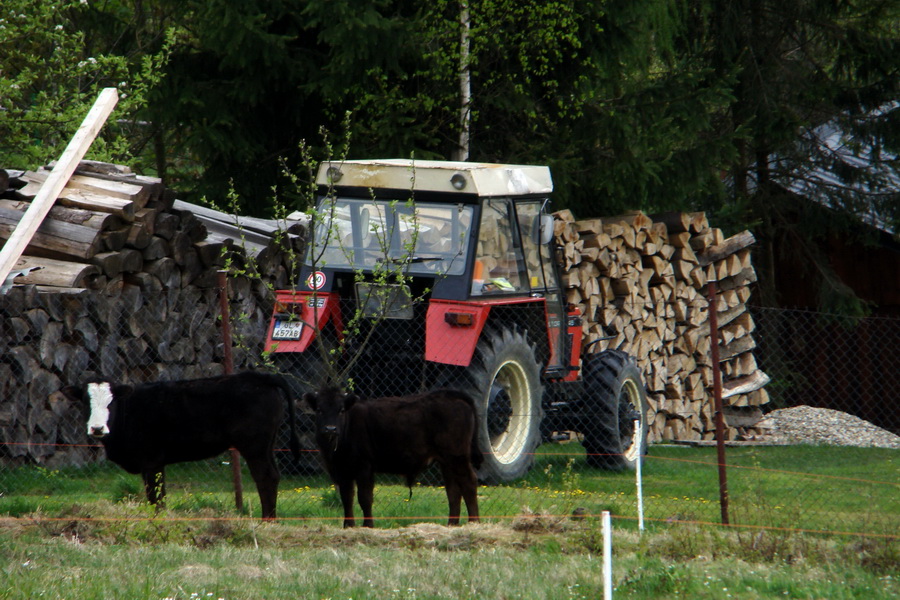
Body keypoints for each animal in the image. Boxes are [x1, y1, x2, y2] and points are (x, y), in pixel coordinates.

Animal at [63, 372, 304, 516]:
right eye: (85, 402)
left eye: (111, 403)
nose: (97, 428)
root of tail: (260, 376)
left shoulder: (152, 461)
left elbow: (157, 496)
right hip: (267, 446)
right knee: (273, 476)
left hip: (254, 446)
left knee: (265, 477)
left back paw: (267, 520)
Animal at [304, 386, 486, 528]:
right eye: (319, 409)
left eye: (341, 410)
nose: (330, 429)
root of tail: (452, 394)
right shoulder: (343, 471)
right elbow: (347, 499)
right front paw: (348, 526)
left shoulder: (364, 467)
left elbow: (365, 498)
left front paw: (368, 525)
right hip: (446, 461)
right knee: (453, 490)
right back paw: (451, 524)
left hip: (457, 456)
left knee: (469, 482)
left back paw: (474, 522)